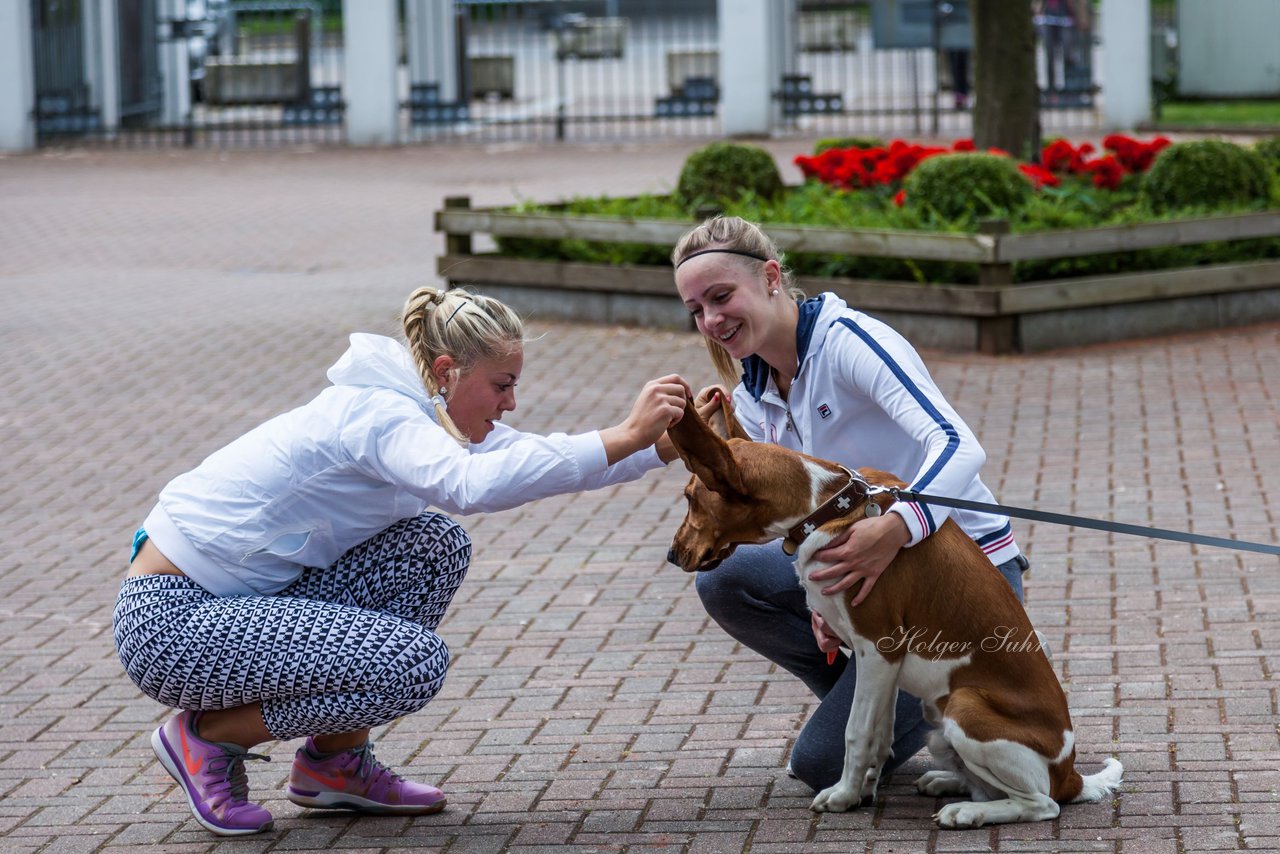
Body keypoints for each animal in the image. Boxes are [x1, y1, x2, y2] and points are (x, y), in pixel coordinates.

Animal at [665, 399, 1126, 829]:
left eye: (689, 498)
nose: (672, 555)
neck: (827, 508)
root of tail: (1071, 775)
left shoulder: (877, 648)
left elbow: (856, 731)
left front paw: (844, 796)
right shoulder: (881, 666)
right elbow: (879, 733)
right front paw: (864, 790)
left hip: (965, 707)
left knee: (1042, 803)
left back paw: (967, 812)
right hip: (936, 722)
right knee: (992, 785)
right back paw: (949, 782)